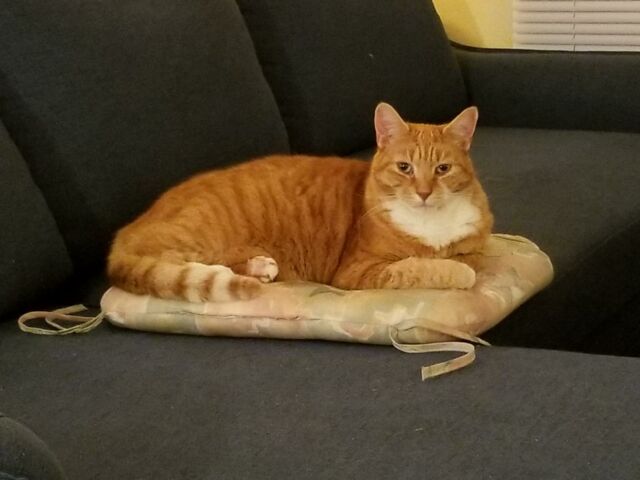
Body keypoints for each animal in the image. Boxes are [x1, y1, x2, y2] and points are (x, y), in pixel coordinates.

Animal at [107, 103, 493, 302]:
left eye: (442, 169)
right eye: (405, 168)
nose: (424, 193)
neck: (431, 223)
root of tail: (125, 232)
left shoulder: (476, 243)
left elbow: (469, 257)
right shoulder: (359, 269)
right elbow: (429, 268)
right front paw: (453, 269)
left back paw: (259, 267)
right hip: (195, 235)